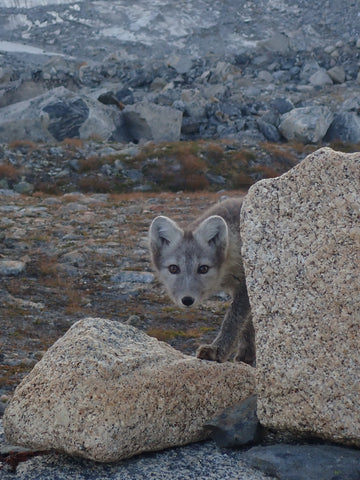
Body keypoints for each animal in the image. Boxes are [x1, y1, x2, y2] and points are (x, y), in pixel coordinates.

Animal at [148, 196, 255, 364]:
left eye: (203, 268)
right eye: (173, 268)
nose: (187, 300)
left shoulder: (245, 285)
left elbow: (233, 320)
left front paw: (216, 351)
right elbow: (248, 322)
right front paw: (246, 355)